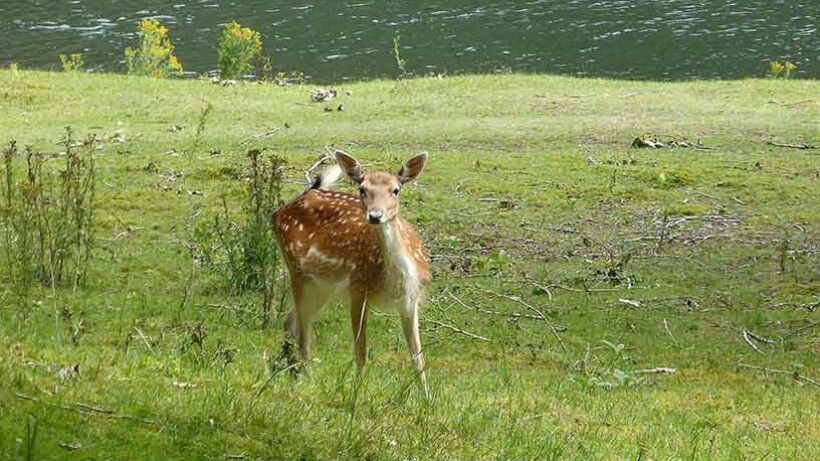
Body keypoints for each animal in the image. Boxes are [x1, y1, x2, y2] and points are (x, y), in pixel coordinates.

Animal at [274, 149, 432, 394]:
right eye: (362, 189)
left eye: (395, 190)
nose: (375, 216)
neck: (394, 280)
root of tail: (281, 211)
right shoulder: (358, 288)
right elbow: (361, 351)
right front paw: (357, 391)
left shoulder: (411, 299)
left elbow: (418, 356)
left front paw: (426, 397)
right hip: (297, 271)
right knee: (303, 334)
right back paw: (308, 381)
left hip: (323, 287)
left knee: (290, 322)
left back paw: (295, 375)